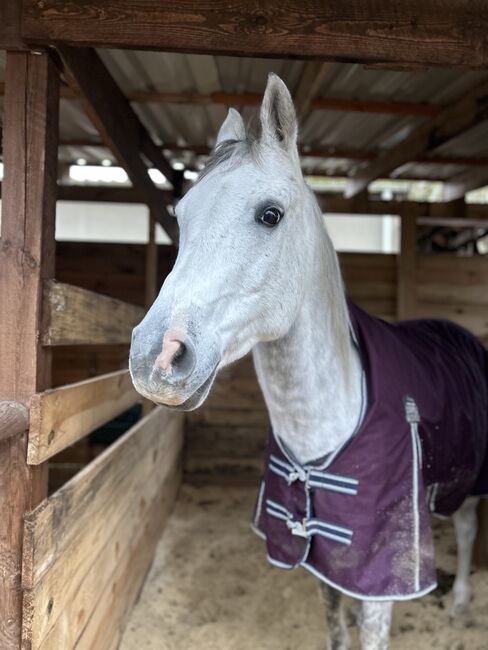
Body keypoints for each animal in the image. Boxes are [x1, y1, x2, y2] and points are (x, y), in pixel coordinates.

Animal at [130, 73, 488, 644]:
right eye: (181, 217)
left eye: (270, 214)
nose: (156, 358)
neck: (325, 421)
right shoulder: (320, 553)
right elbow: (336, 624)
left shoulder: (381, 573)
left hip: (467, 483)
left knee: (470, 525)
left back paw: (459, 604)